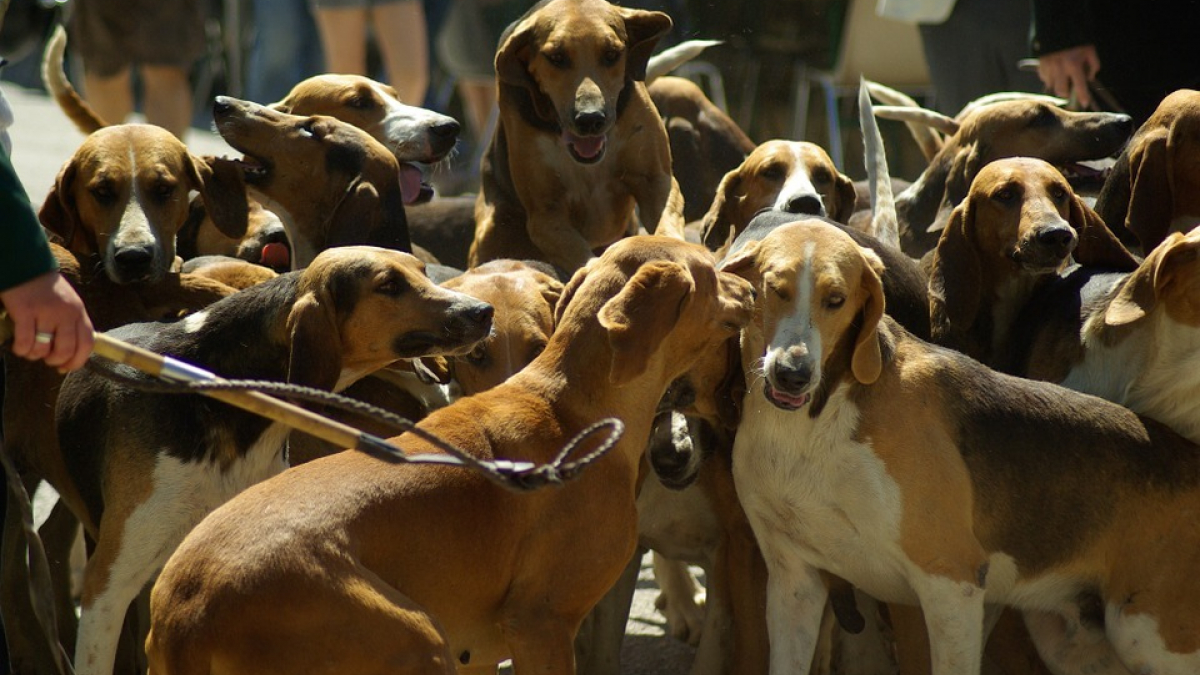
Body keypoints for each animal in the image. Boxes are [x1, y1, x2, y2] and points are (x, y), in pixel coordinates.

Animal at [145, 234, 753, 667]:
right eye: (712, 268)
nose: (749, 288)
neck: (572, 406)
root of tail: (181, 614)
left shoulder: (482, 653)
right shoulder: (541, 625)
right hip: (414, 641)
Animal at [472, 0, 691, 270]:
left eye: (611, 55)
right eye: (556, 57)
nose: (590, 119)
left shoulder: (656, 181)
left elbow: (665, 221)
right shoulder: (545, 216)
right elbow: (579, 252)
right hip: (492, 228)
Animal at [724, 218, 1200, 672]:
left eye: (835, 300)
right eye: (775, 289)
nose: (793, 374)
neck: (811, 424)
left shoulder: (951, 583)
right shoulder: (794, 582)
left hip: (1145, 635)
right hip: (1068, 641)